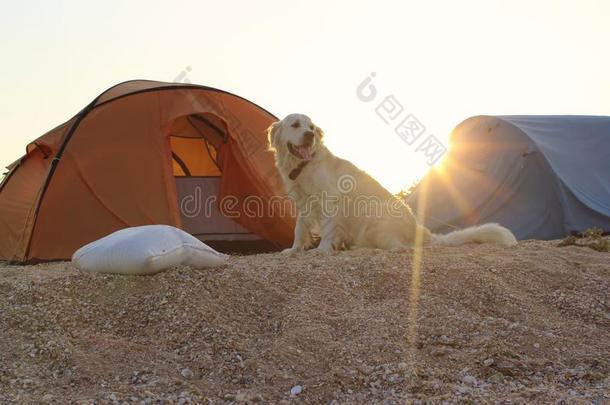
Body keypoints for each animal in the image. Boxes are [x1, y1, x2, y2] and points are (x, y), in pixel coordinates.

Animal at [266, 113, 512, 252]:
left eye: (311, 127)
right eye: (295, 125)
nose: (310, 135)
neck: (303, 166)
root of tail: (419, 229)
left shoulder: (330, 200)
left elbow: (327, 229)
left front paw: (323, 249)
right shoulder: (302, 202)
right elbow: (299, 229)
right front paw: (294, 250)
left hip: (375, 220)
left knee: (403, 247)